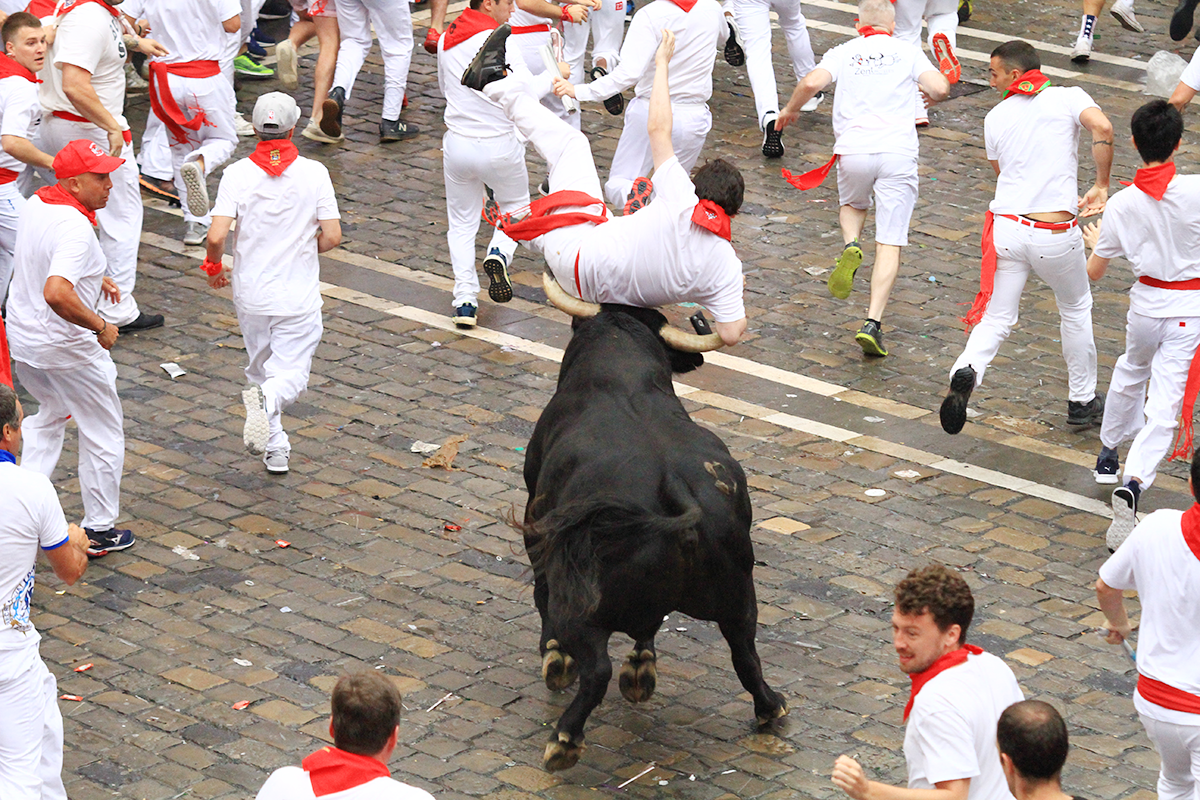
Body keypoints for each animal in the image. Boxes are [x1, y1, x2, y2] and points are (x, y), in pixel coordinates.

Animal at [518, 304, 787, 767]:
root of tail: (677, 490)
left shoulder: (537, 516)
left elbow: (541, 595)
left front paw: (555, 658)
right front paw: (641, 665)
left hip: (582, 606)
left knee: (596, 670)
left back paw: (564, 739)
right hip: (739, 599)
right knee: (746, 655)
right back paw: (770, 707)